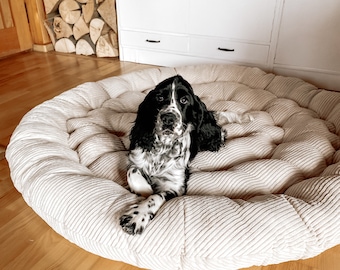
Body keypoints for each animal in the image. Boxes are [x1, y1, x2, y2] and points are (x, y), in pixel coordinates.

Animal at [119, 75, 252, 234]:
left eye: (184, 100)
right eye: (159, 97)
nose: (168, 118)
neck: (164, 147)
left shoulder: (175, 185)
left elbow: (156, 196)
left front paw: (137, 216)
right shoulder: (136, 159)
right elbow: (132, 172)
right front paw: (145, 189)